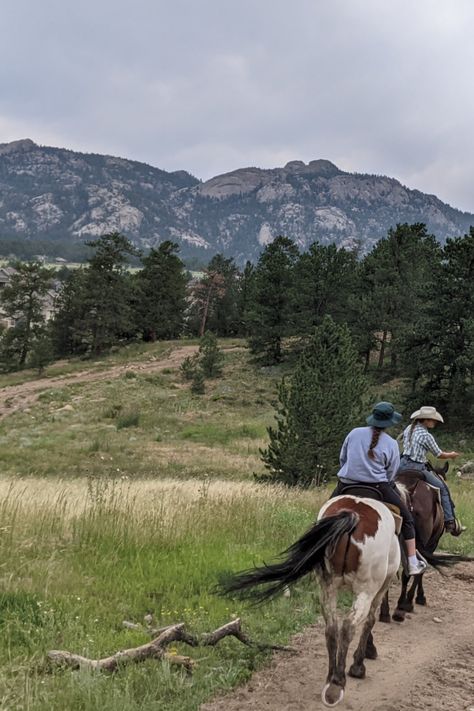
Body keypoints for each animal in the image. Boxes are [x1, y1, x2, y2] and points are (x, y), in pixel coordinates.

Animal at [221, 498, 400, 708]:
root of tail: (353, 515)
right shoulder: (382, 587)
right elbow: (370, 621)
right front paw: (359, 664)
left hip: (327, 587)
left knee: (331, 628)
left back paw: (330, 680)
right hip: (364, 590)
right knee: (348, 626)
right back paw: (337, 684)